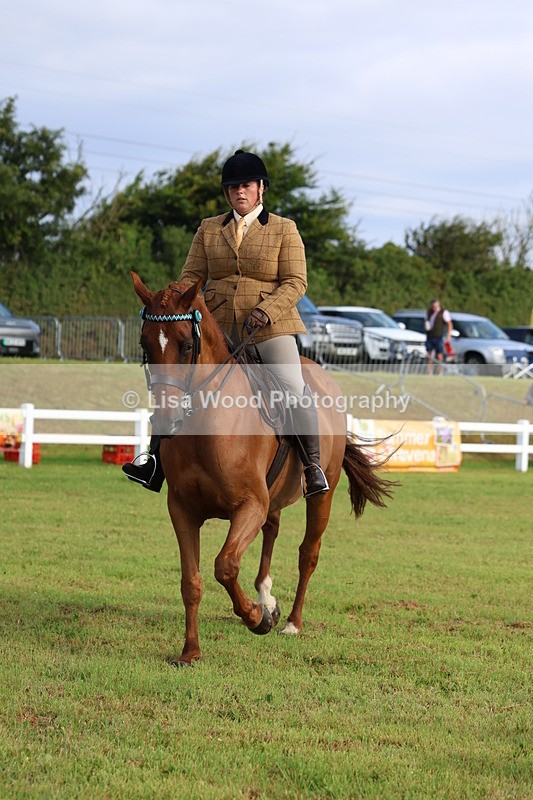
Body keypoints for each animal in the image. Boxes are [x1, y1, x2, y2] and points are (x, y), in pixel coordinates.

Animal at [130, 271, 393, 665]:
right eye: (146, 345)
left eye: (186, 345)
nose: (167, 420)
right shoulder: (182, 509)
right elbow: (191, 581)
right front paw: (190, 651)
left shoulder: (249, 506)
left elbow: (224, 565)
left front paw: (256, 619)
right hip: (273, 497)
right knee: (272, 531)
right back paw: (267, 598)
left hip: (321, 495)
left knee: (308, 553)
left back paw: (291, 622)